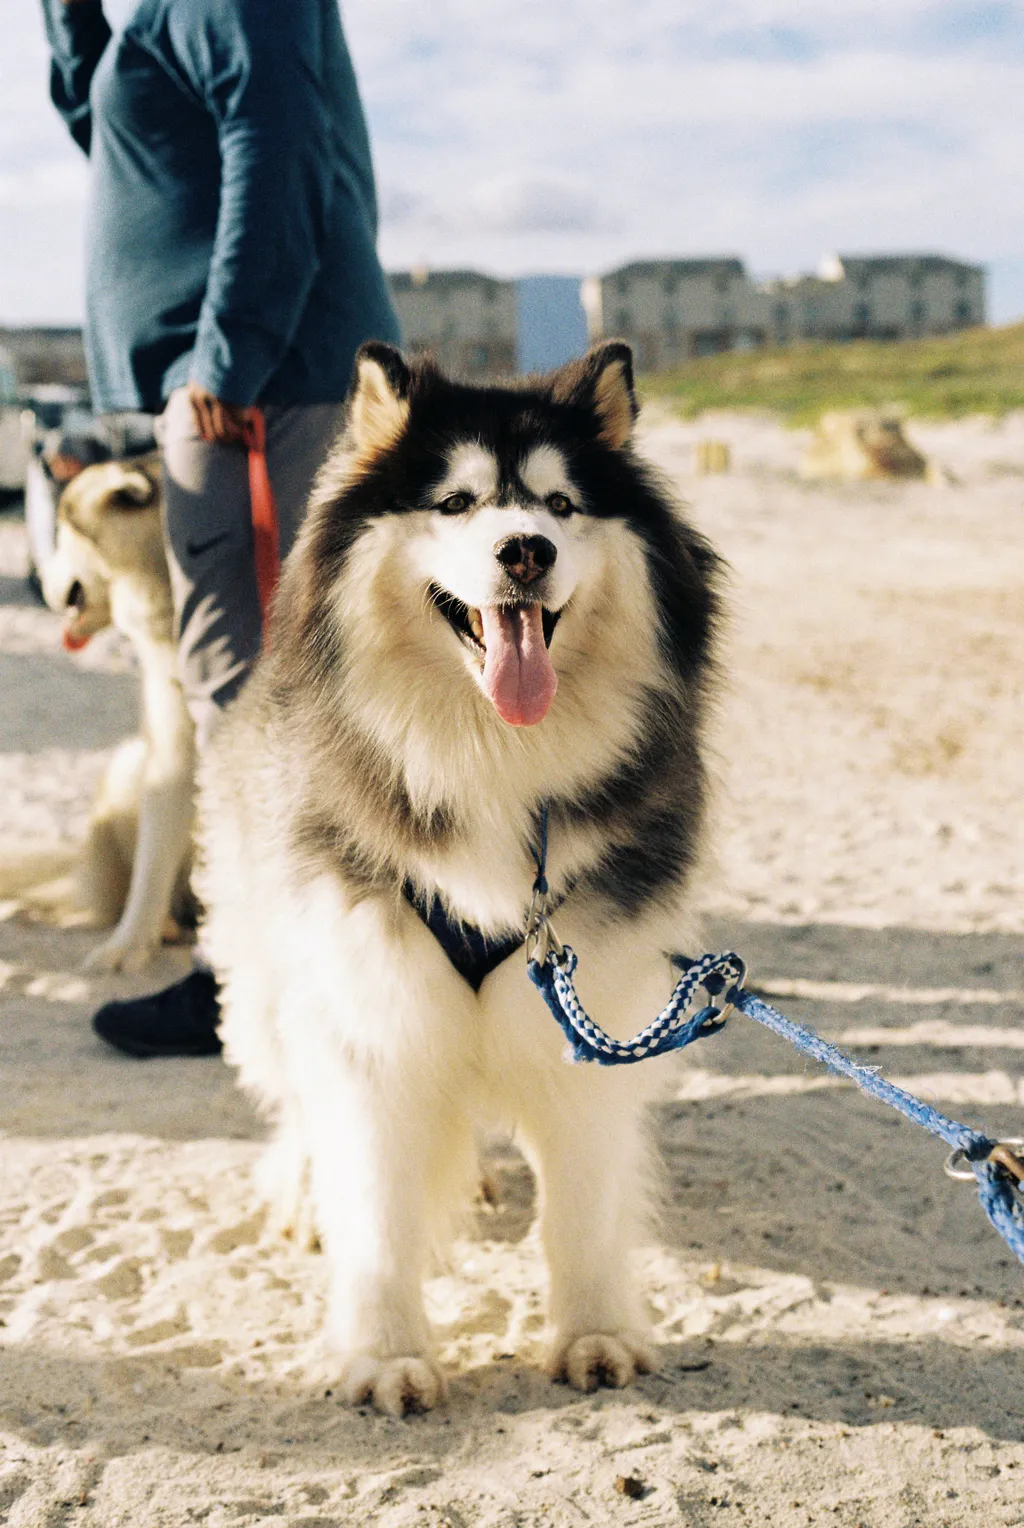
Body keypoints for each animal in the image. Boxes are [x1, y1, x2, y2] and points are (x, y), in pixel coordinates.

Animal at [197, 340, 718, 1411]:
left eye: (560, 505)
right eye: (455, 502)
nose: (526, 551)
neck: (489, 759)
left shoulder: (593, 1003)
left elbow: (582, 1207)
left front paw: (594, 1332)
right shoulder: (366, 1002)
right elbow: (376, 1210)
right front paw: (386, 1352)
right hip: (269, 968)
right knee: (294, 1090)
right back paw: (302, 1190)